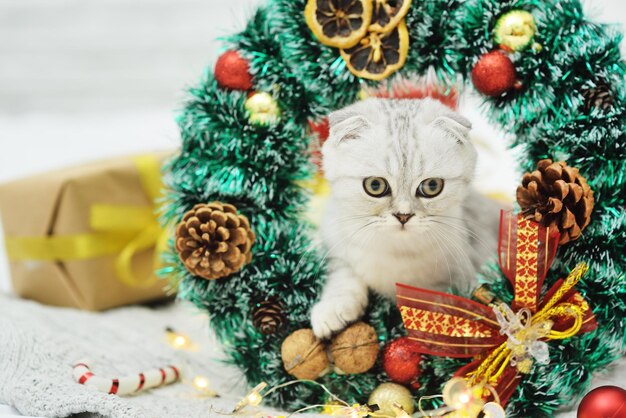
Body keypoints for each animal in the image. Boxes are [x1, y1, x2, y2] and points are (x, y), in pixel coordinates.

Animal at [310, 99, 498, 340]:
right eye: (375, 185)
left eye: (432, 186)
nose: (403, 215)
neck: (396, 251)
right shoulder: (336, 240)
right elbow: (344, 273)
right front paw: (333, 308)